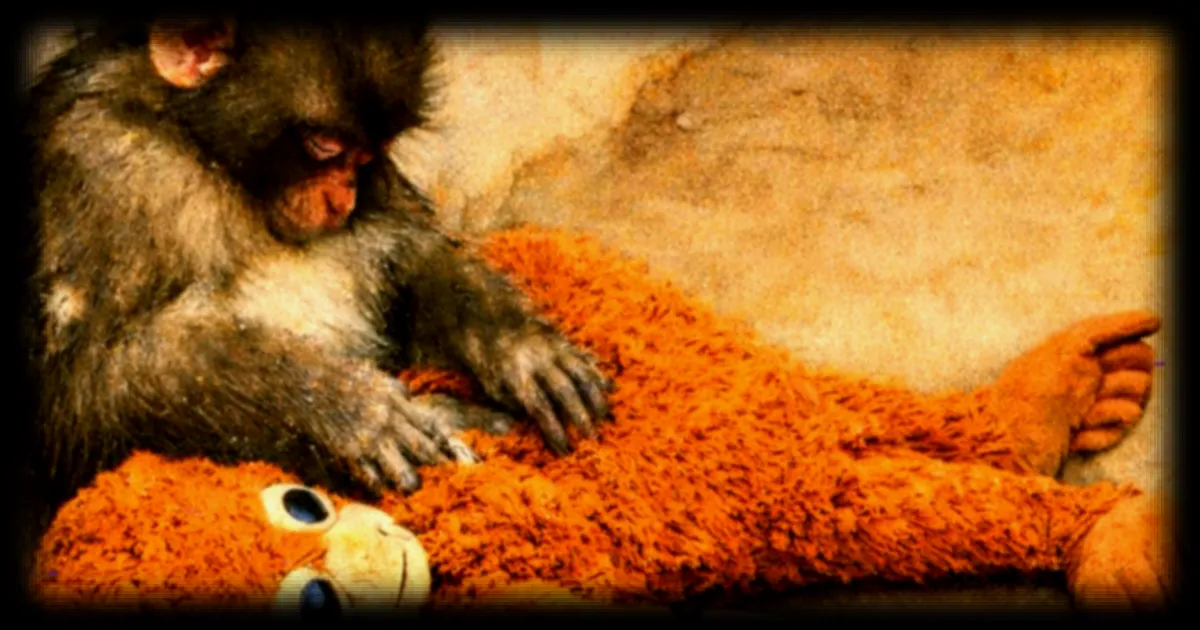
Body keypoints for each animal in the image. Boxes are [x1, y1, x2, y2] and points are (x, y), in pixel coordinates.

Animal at [19, 18, 614, 570]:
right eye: (324, 148)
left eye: (368, 155)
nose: (342, 197)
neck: (201, 147)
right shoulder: (100, 164)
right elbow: (89, 396)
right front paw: (348, 408)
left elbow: (408, 252)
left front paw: (521, 348)